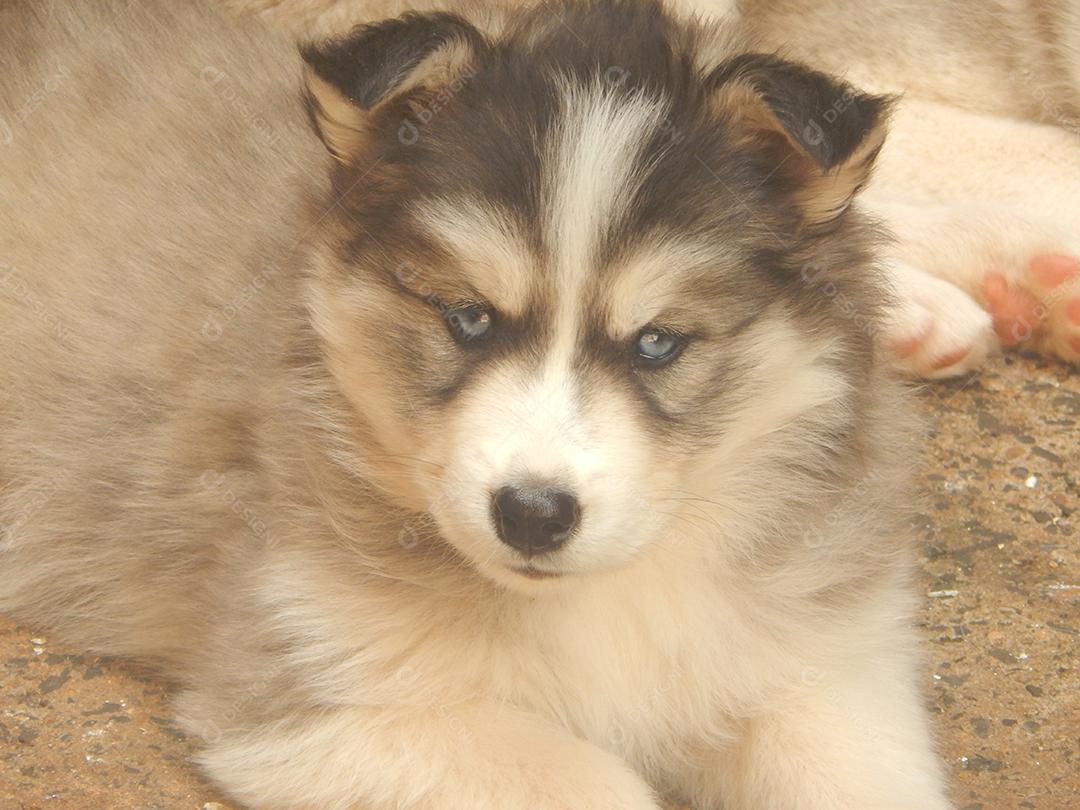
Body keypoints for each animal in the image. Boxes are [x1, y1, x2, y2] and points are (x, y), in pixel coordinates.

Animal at [4, 0, 954, 807]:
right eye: (467, 317)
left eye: (657, 343)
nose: (532, 514)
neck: (611, 593)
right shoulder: (318, 692)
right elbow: (596, 786)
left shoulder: (826, 670)